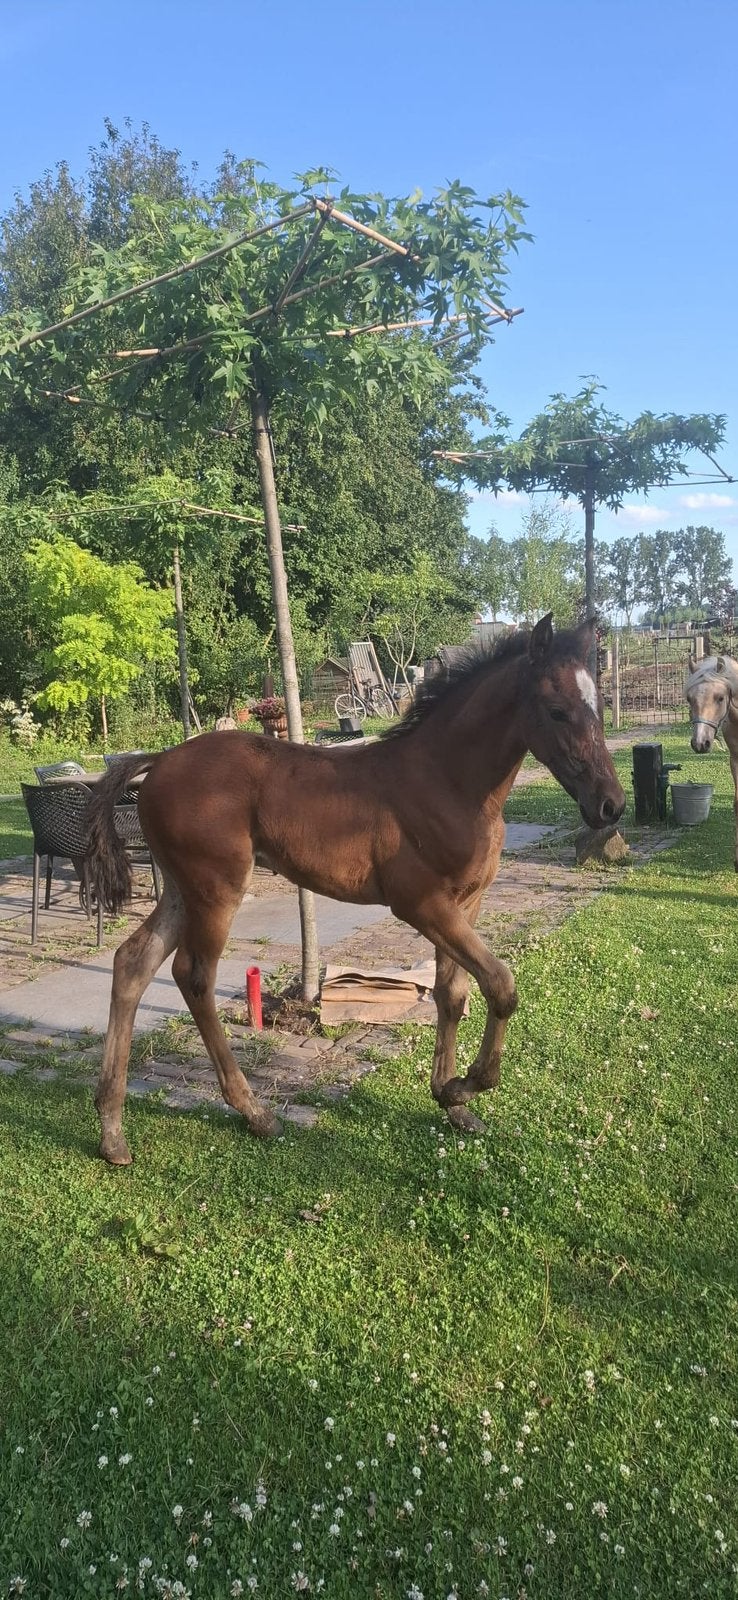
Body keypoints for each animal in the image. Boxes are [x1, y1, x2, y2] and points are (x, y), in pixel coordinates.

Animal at [84, 614, 625, 1166]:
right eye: (557, 711)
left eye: (599, 706)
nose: (611, 804)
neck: (447, 782)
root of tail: (159, 761)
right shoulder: (420, 904)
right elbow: (500, 983)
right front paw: (466, 1084)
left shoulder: (466, 903)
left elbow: (451, 992)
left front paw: (450, 1100)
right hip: (216, 889)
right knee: (193, 976)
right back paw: (253, 1111)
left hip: (180, 888)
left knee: (132, 962)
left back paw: (111, 1129)